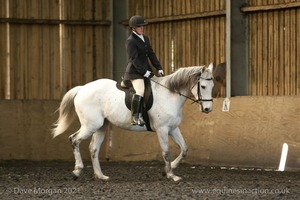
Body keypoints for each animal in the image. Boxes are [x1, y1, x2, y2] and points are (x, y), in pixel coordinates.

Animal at [52, 63, 214, 182]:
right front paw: (171, 175)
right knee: (74, 139)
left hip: (101, 126)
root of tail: (82, 89)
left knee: (93, 148)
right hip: (90, 125)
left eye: (212, 86)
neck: (170, 94)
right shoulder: (162, 129)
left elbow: (184, 149)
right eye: (203, 86)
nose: (207, 109)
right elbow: (166, 152)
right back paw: (77, 171)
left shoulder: (173, 128)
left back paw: (101, 176)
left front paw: (167, 170)